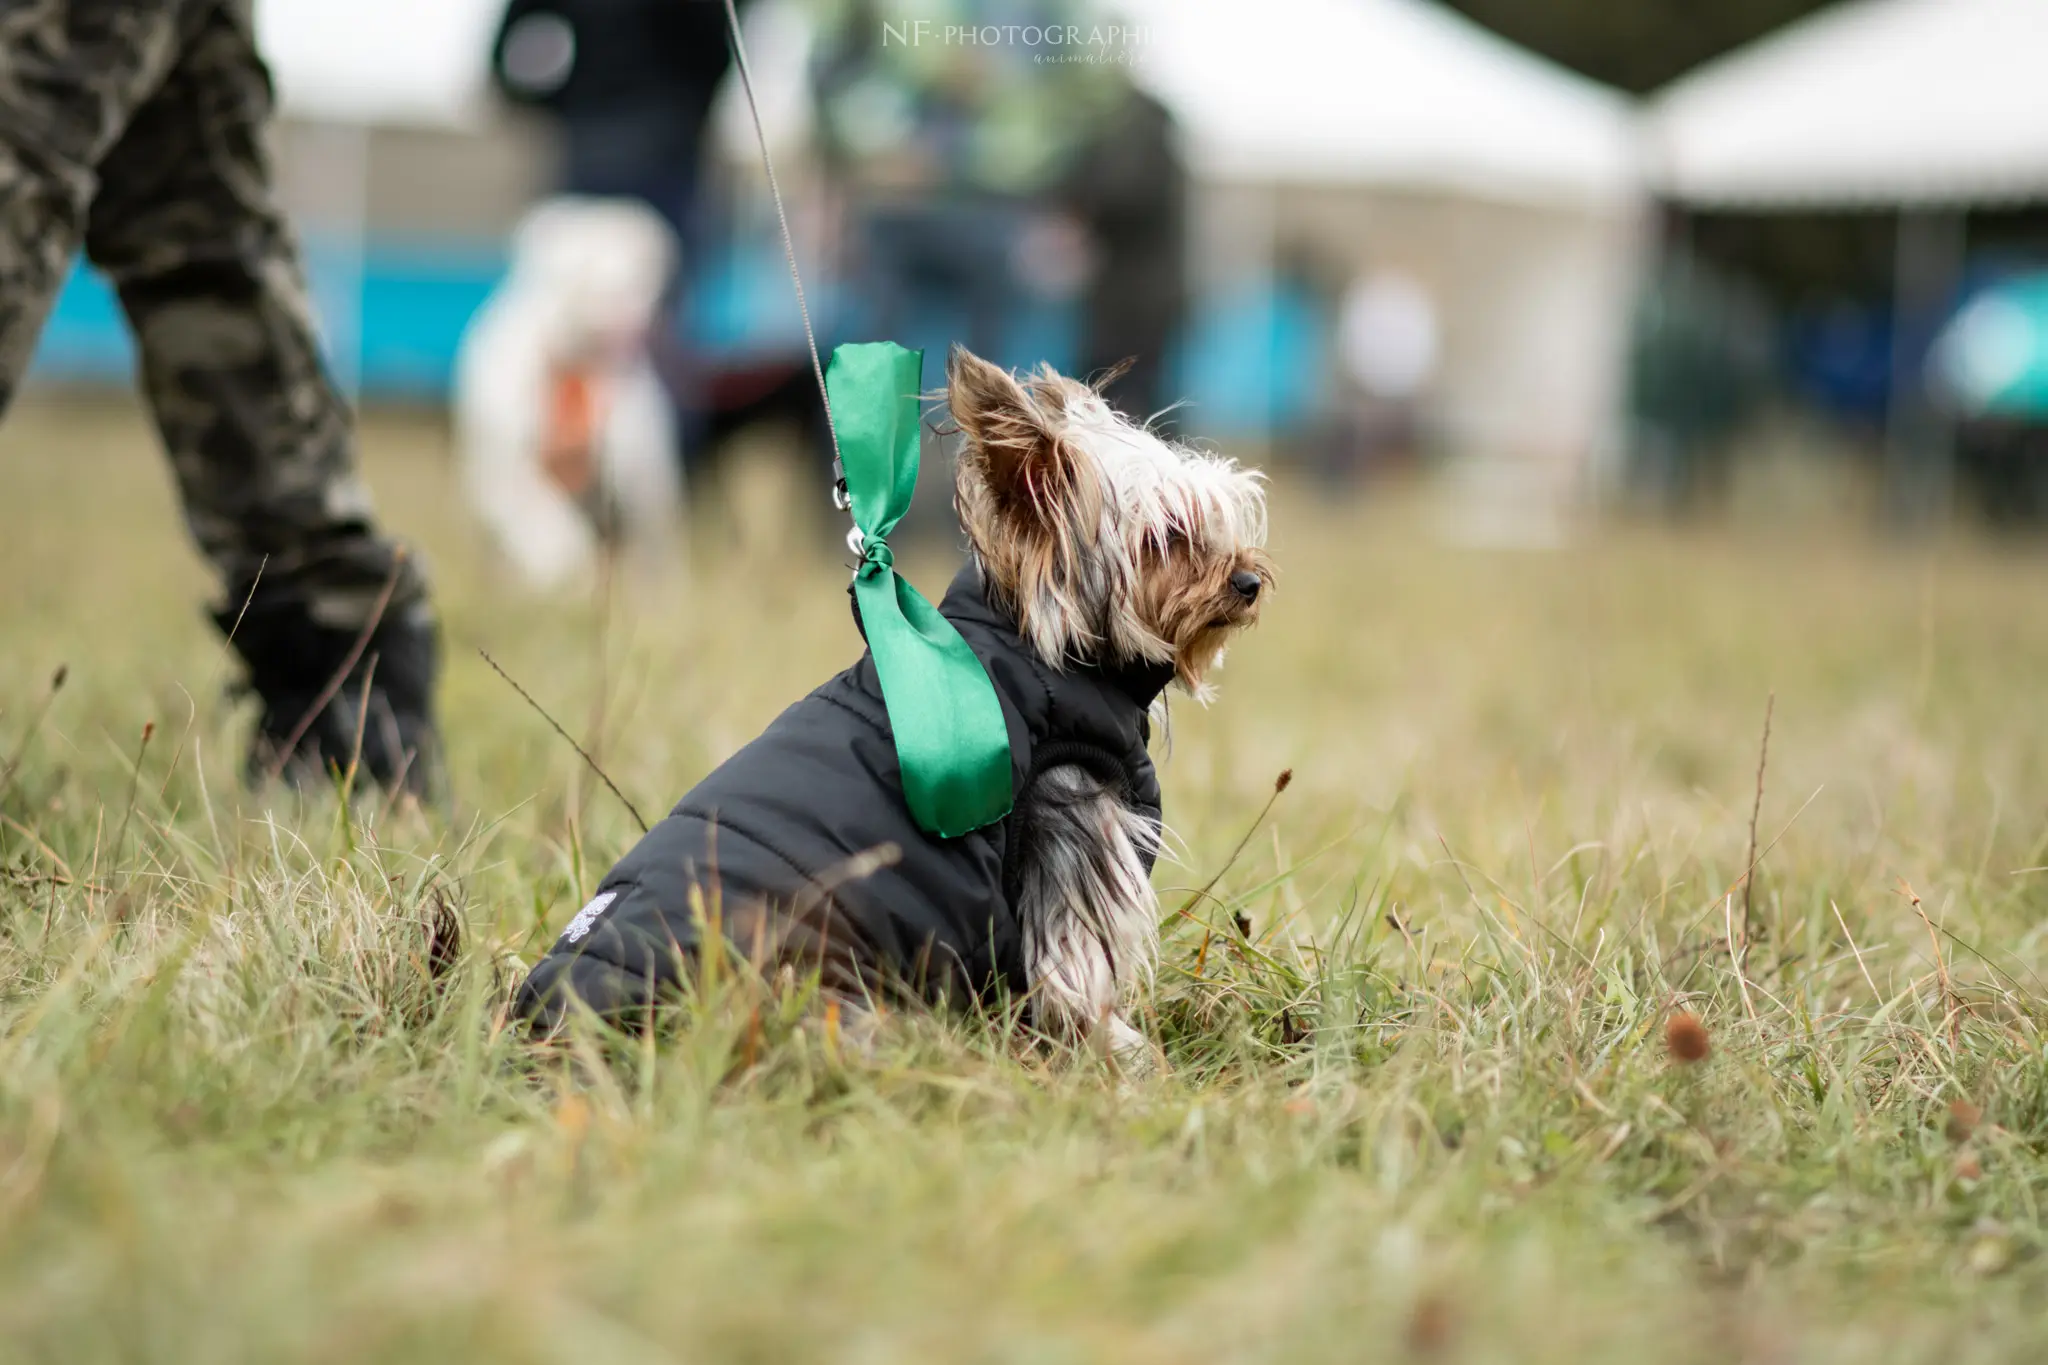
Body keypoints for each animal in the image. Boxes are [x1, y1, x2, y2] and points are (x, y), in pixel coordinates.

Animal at [452, 194, 684, 589]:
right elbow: (549, 528)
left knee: (653, 542)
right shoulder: (506, 472)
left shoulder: (624, 470)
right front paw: (558, 564)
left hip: (647, 484)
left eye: (638, 275)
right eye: (582, 268)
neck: (575, 364)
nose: (626, 308)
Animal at [512, 347, 1269, 1064]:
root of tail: (557, 1019)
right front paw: (1124, 1059)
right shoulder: (1071, 831)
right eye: (1168, 537)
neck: (1035, 647)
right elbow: (1076, 980)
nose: (1250, 580)